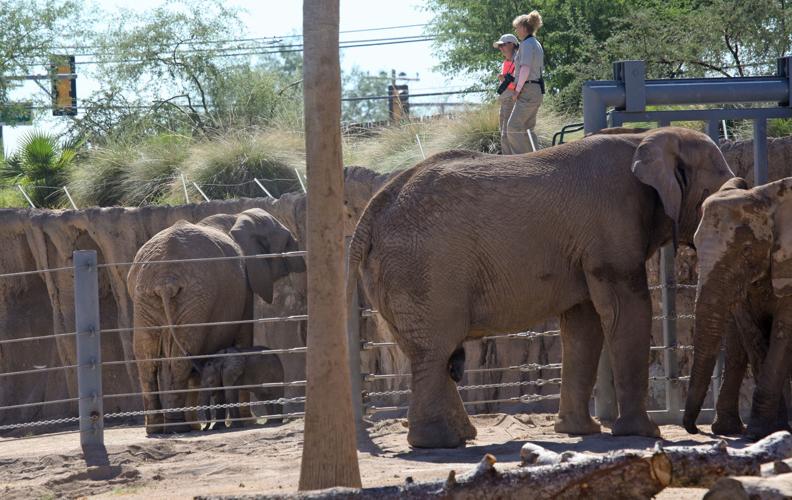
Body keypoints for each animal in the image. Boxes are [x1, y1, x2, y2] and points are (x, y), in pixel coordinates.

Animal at [127, 208, 305, 434]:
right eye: (287, 242)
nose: (302, 260)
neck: (236, 218)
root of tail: (165, 280)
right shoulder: (245, 286)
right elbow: (244, 334)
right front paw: (249, 421)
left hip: (144, 296)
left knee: (146, 357)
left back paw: (159, 429)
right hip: (197, 296)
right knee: (182, 357)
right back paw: (180, 427)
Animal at [347, 127, 735, 448]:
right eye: (713, 198)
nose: (695, 430)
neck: (648, 135)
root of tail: (369, 213)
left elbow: (583, 323)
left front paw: (580, 431)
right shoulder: (613, 223)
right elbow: (628, 309)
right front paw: (642, 433)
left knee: (431, 352)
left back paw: (460, 436)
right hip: (424, 269)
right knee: (435, 349)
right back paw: (440, 443)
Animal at [683, 176, 792, 440]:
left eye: (747, 250)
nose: (693, 430)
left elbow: (784, 333)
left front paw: (758, 432)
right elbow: (756, 341)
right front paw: (770, 431)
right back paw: (727, 429)